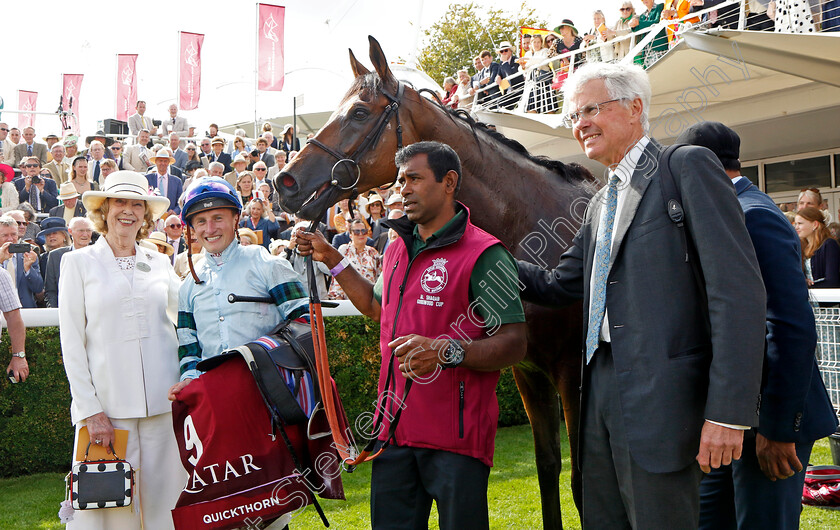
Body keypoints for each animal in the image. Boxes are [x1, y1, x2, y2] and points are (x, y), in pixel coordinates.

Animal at [276, 35, 596, 524]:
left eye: (359, 113)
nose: (284, 181)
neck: (532, 223)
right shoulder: (528, 372)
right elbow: (547, 471)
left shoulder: (571, 372)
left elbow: (580, 482)